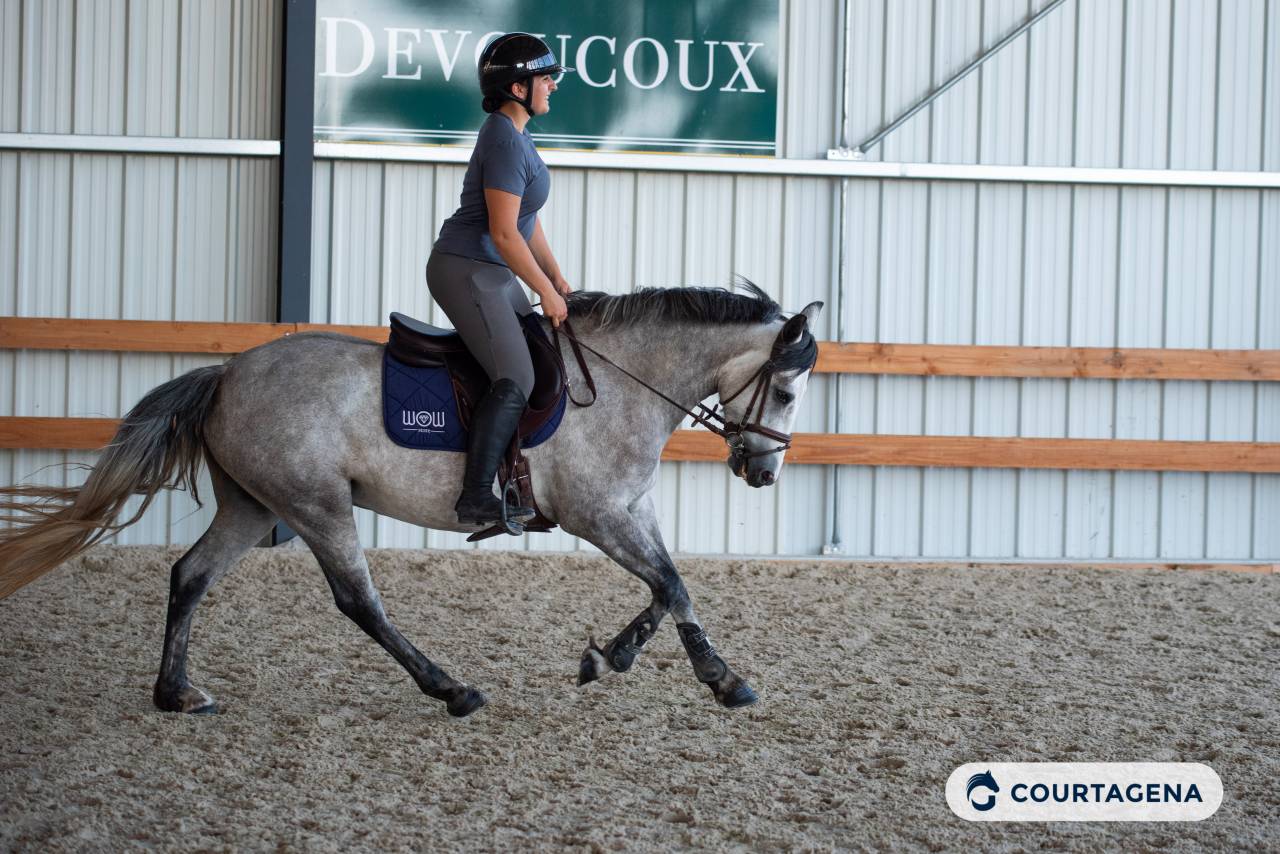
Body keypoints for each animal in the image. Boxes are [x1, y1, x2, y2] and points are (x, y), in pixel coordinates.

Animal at [0, 282, 823, 718]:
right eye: (785, 392)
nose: (764, 475)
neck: (622, 381)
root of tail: (228, 374)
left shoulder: (631, 511)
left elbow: (668, 584)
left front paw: (612, 656)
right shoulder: (598, 516)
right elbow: (673, 585)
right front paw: (722, 680)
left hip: (254, 507)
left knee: (190, 575)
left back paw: (175, 692)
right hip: (315, 505)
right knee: (359, 602)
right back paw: (450, 688)